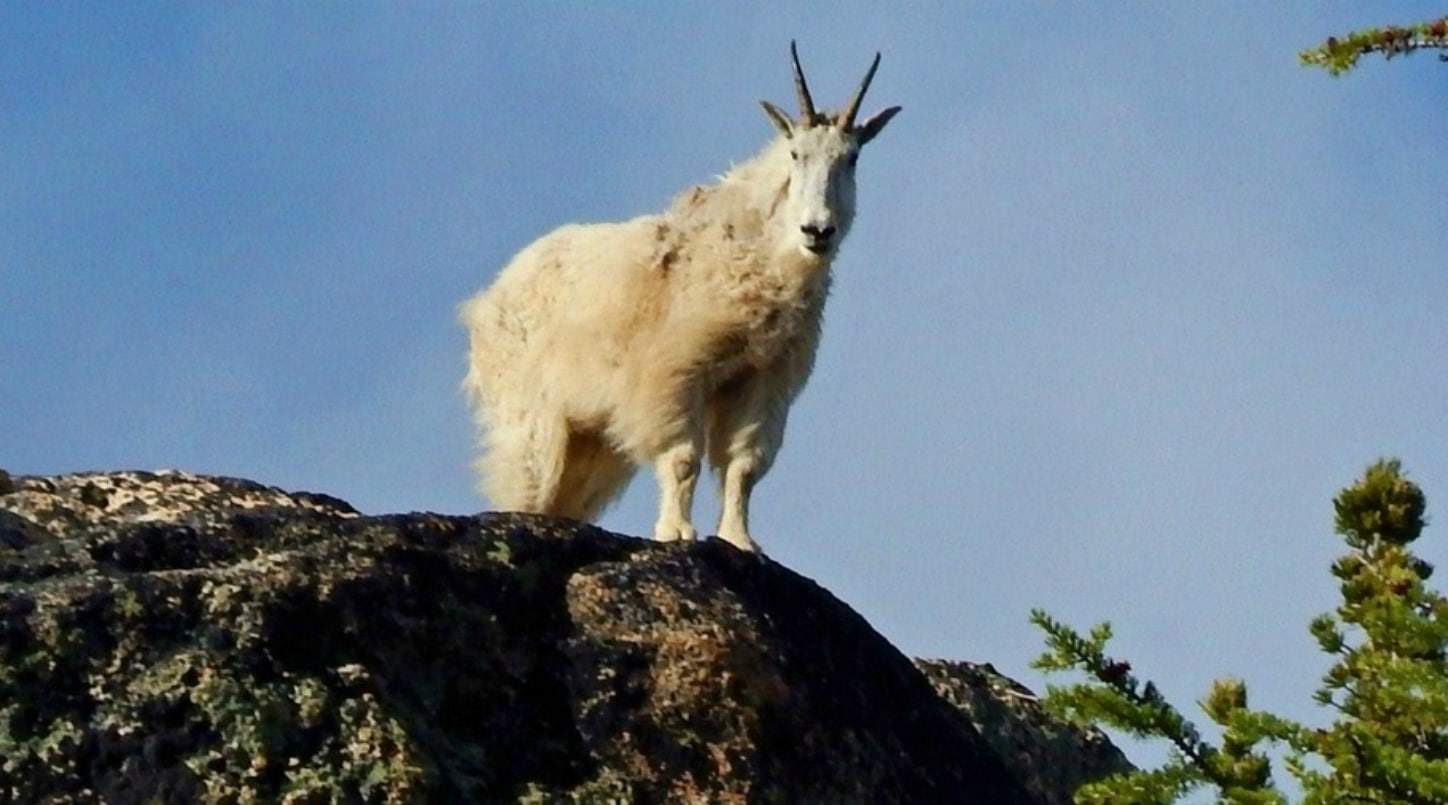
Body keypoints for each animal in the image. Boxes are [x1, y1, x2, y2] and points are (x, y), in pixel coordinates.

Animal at [460, 42, 899, 552]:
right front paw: (677, 531)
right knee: (527, 480)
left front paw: (740, 540)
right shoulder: (676, 370)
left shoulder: (760, 378)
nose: (817, 231)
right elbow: (683, 456)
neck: (759, 250)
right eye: (795, 154)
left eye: (851, 159)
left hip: (591, 439)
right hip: (531, 412)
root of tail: (489, 299)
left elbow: (743, 466)